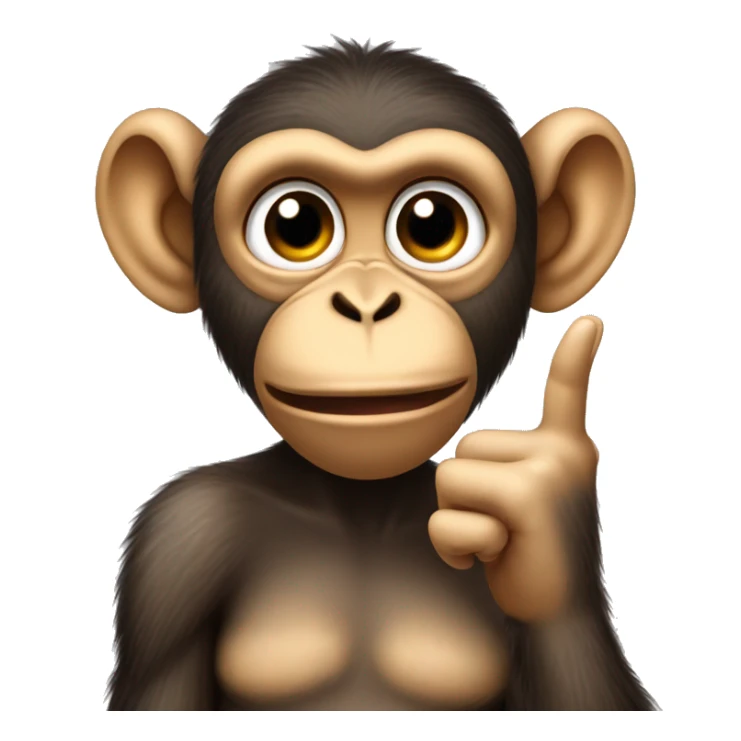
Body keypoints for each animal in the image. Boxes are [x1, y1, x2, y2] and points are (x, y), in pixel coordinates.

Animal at [95, 39, 656, 711]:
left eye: (432, 224)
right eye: (294, 225)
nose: (366, 304)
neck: (362, 505)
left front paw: (542, 524)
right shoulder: (179, 540)